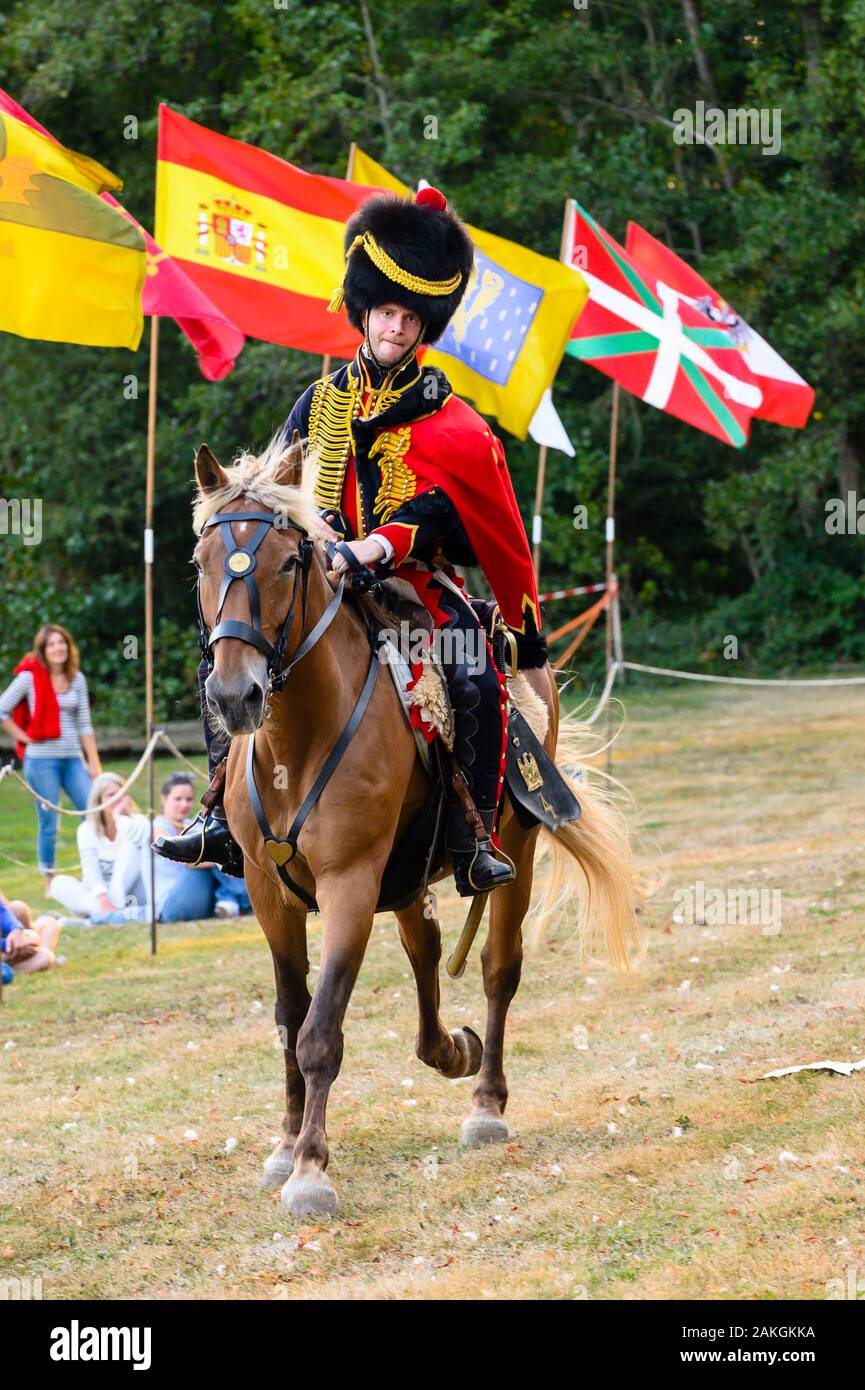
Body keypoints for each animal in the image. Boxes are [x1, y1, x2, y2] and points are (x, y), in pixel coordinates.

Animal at [193, 433, 648, 1217]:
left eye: (288, 562)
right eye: (201, 563)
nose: (233, 693)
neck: (298, 740)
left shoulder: (349, 884)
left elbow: (320, 1030)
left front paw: (311, 1169)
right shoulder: (265, 890)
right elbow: (289, 1015)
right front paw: (285, 1146)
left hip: (514, 848)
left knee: (499, 967)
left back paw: (486, 1102)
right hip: (406, 873)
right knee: (427, 948)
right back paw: (448, 1051)